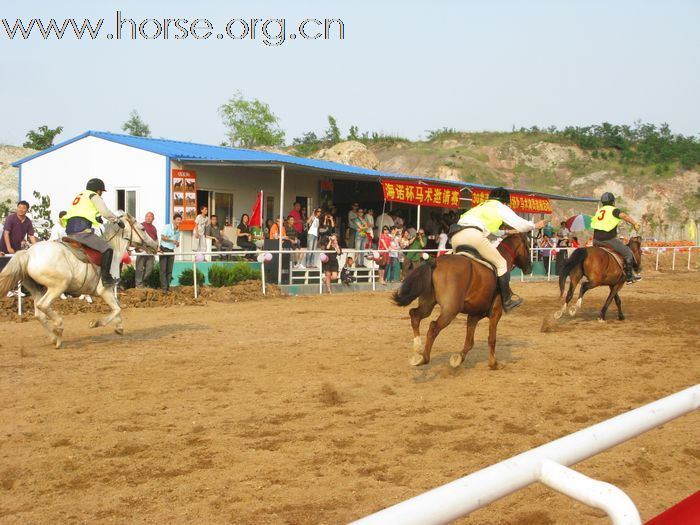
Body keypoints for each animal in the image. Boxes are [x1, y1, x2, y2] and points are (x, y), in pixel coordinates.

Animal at [0, 213, 157, 348]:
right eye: (143, 228)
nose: (155, 245)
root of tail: (28, 253)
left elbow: (118, 308)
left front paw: (119, 327)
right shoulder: (105, 290)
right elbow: (117, 308)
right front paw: (96, 323)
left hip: (38, 289)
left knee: (39, 314)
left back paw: (54, 338)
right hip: (58, 286)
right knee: (43, 306)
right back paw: (59, 328)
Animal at [392, 233, 532, 368]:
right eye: (527, 247)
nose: (529, 268)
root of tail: (435, 263)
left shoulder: (474, 315)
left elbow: (469, 342)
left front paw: (458, 358)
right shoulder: (495, 313)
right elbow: (492, 339)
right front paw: (493, 363)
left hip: (428, 304)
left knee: (415, 315)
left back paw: (417, 348)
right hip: (451, 310)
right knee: (433, 327)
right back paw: (423, 358)